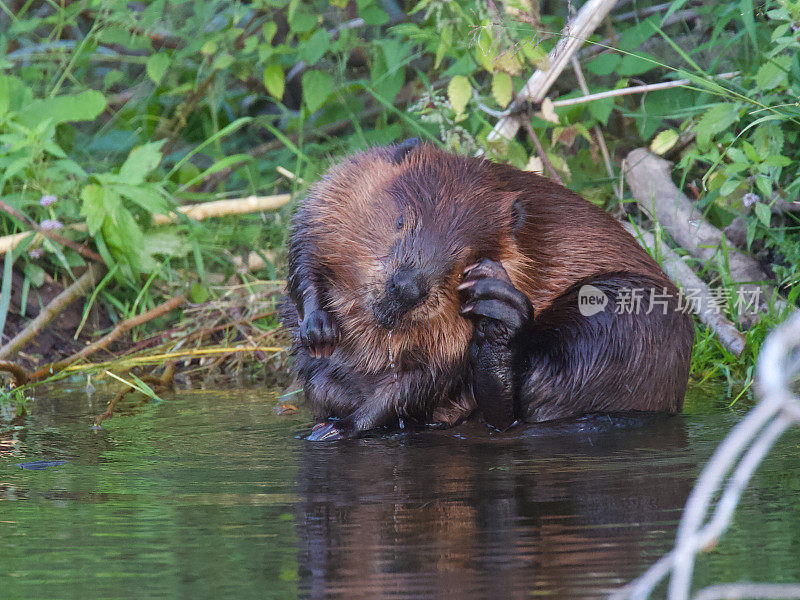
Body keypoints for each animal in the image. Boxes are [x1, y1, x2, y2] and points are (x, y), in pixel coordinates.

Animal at [282, 139, 692, 440]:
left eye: (466, 256)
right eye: (400, 221)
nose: (407, 289)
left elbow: (421, 382)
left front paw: (337, 430)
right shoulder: (338, 189)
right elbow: (304, 249)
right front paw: (318, 330)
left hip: (624, 319)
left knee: (532, 398)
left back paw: (499, 317)